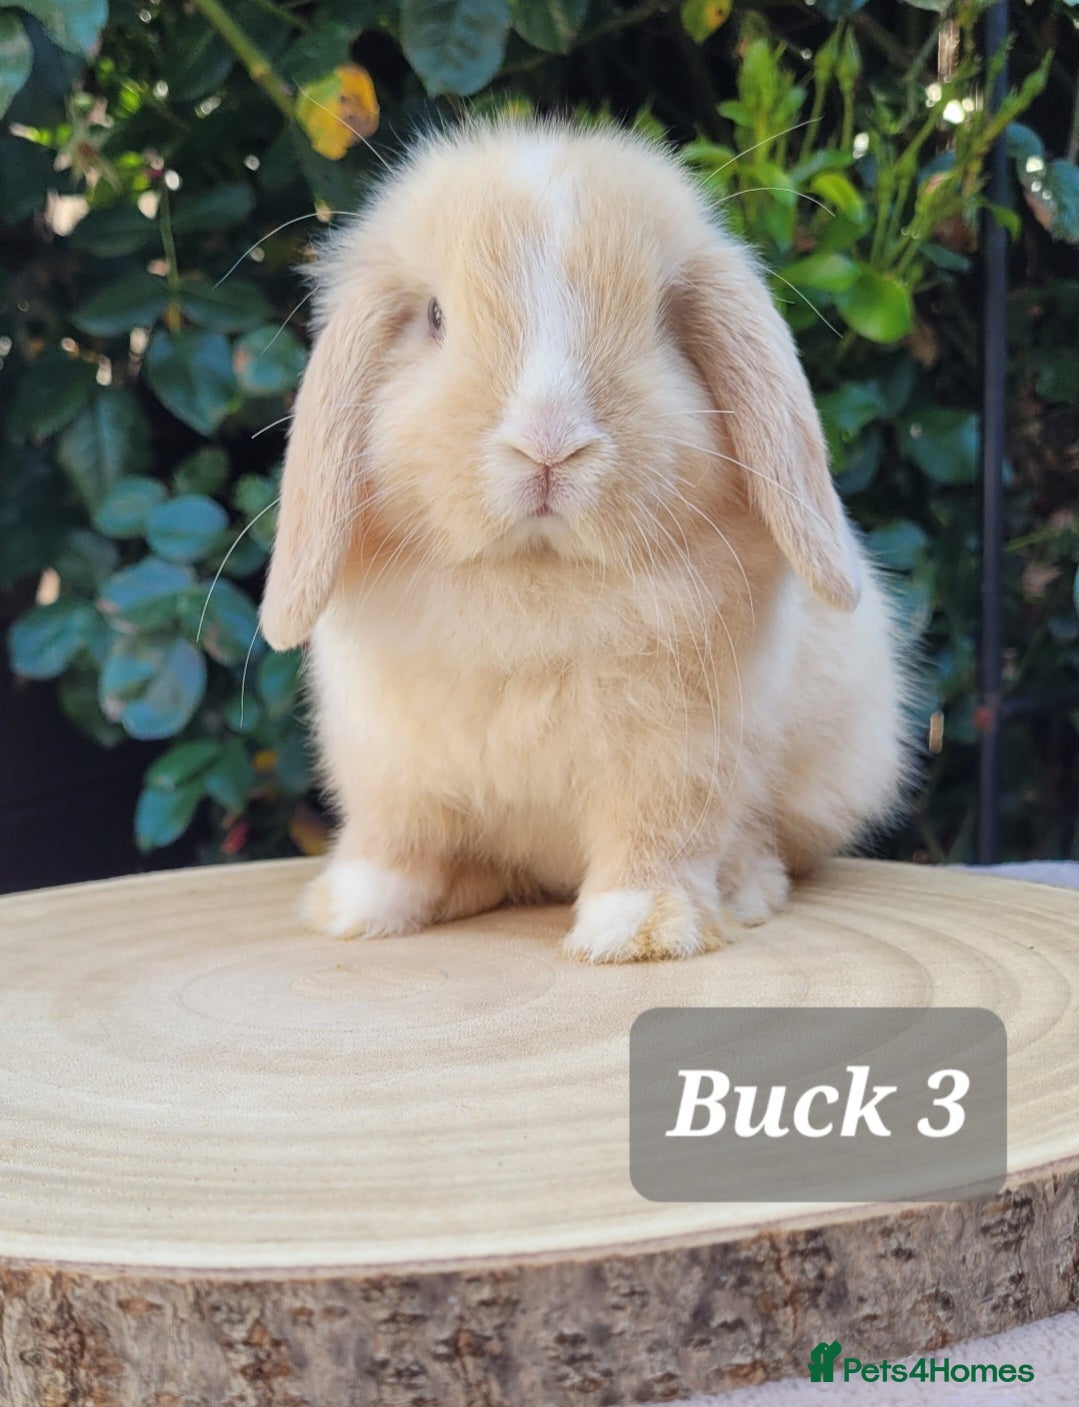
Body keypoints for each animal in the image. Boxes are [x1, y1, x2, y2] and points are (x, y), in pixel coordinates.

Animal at [259, 114, 911, 963]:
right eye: (434, 317)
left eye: (661, 322)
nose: (548, 443)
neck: (535, 582)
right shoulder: (388, 768)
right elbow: (396, 843)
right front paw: (355, 911)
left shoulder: (676, 763)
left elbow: (656, 842)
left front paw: (637, 933)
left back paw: (744, 886)